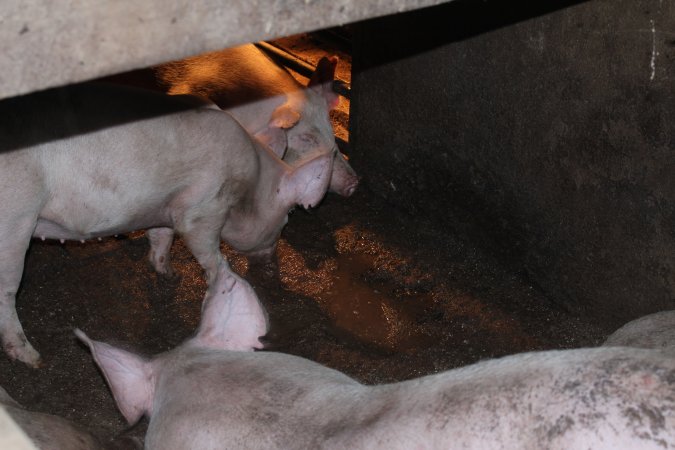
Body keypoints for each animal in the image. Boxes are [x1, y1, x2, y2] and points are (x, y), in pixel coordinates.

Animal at [0, 82, 336, 368]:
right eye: (287, 217)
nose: (271, 265)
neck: (249, 182)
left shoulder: (164, 205)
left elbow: (161, 236)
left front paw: (171, 276)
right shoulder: (203, 209)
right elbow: (207, 251)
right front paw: (219, 282)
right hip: (15, 216)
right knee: (7, 289)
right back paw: (33, 358)